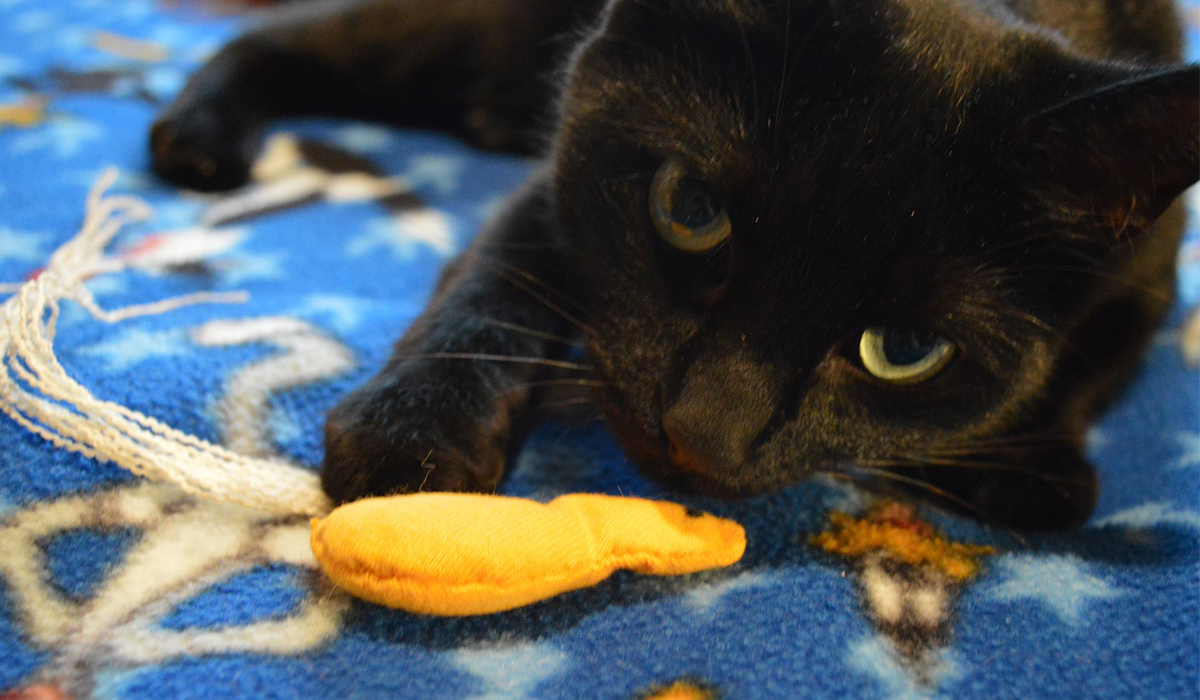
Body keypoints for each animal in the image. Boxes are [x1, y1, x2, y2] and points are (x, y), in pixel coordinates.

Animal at [150, 0, 1200, 528]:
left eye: (903, 349)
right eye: (690, 211)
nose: (702, 429)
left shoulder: (1153, 262)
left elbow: (1098, 362)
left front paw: (1035, 464)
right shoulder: (559, 175)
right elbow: (492, 289)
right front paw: (412, 428)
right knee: (286, 38)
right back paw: (196, 139)